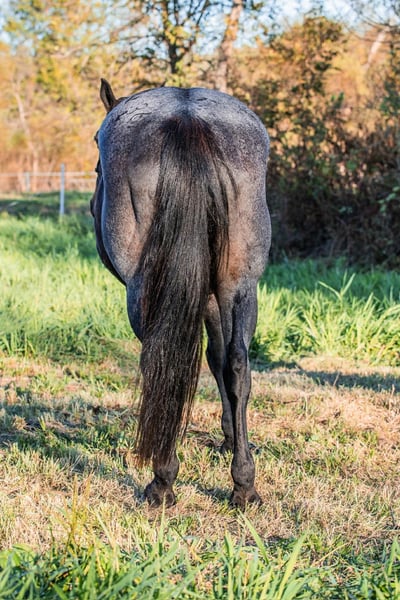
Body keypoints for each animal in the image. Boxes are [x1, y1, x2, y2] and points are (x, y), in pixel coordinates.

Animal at [91, 79, 271, 509]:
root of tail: (186, 119)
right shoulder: (214, 297)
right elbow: (221, 360)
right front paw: (231, 442)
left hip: (145, 290)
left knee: (160, 363)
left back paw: (161, 481)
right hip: (241, 285)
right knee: (239, 364)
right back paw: (245, 487)